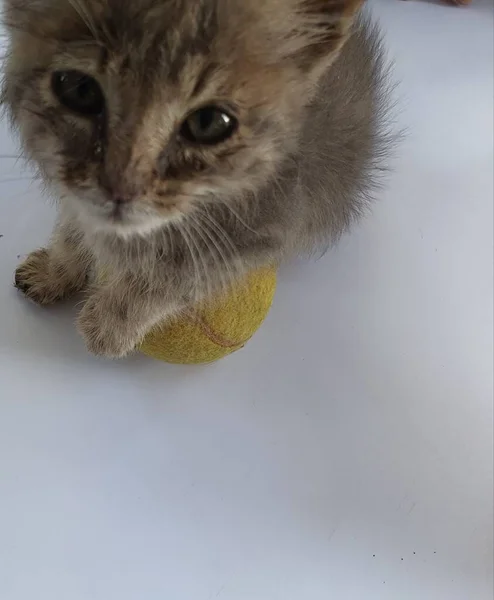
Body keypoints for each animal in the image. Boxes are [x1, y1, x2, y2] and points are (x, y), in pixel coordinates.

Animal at [1, 0, 392, 356]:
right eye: (79, 89)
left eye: (209, 123)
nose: (120, 187)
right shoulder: (75, 196)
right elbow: (72, 230)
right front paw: (55, 270)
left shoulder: (258, 229)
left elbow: (168, 281)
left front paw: (110, 326)